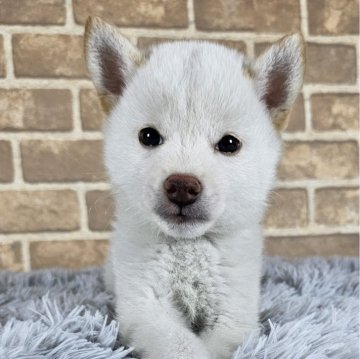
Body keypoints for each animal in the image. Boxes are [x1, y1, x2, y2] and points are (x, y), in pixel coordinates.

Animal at [84, 16, 304, 359]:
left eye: (229, 144)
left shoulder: (234, 315)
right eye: (149, 136)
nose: (182, 186)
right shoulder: (148, 309)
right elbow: (182, 345)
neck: (189, 248)